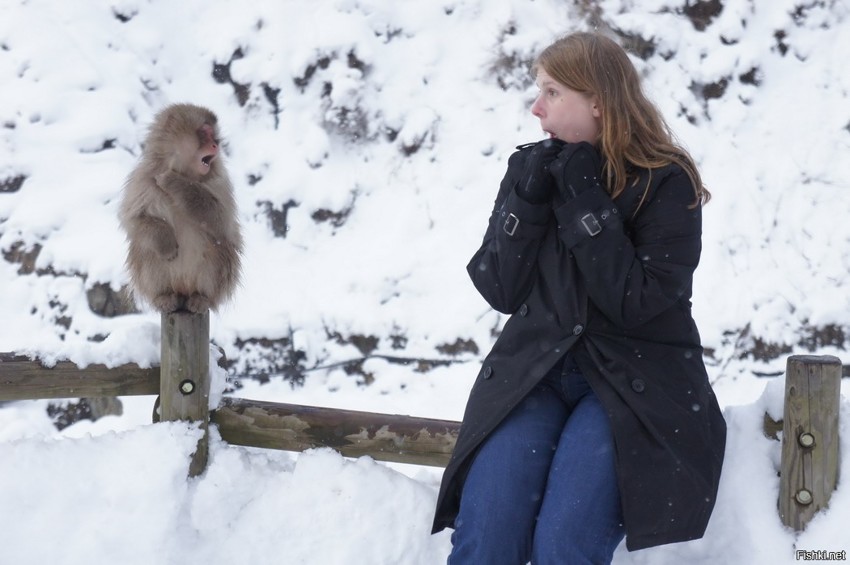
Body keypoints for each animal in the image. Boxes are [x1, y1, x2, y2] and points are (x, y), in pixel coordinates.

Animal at [118, 103, 242, 310]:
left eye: (214, 136)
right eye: (205, 133)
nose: (216, 145)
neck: (185, 172)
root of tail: (183, 289)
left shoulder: (220, 181)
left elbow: (222, 223)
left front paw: (175, 182)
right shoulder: (144, 178)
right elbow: (134, 220)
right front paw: (166, 244)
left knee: (219, 247)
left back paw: (202, 298)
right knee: (144, 247)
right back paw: (164, 297)